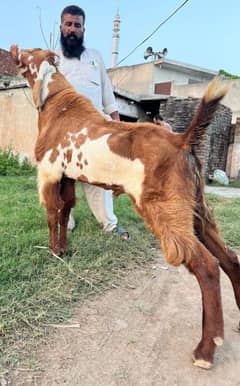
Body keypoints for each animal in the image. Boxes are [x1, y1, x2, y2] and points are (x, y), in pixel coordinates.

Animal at [10, 46, 240, 370]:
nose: (14, 48)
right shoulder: (68, 176)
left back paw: (205, 351)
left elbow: (52, 213)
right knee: (229, 256)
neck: (57, 103)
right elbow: (66, 210)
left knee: (207, 266)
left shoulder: (49, 172)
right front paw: (64, 251)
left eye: (29, 53)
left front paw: (54, 252)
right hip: (195, 211)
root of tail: (182, 140)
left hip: (163, 209)